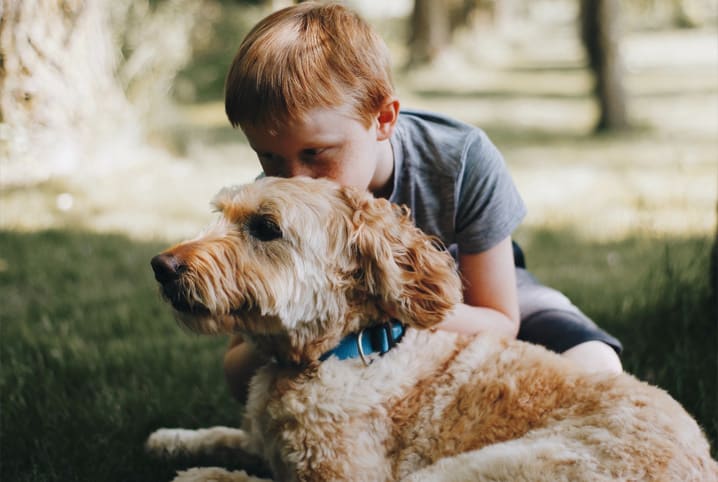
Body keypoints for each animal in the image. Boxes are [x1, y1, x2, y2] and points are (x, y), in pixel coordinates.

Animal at [148, 177, 718, 482]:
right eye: (222, 214)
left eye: (266, 228)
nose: (161, 265)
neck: (343, 350)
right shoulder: (266, 440)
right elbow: (230, 434)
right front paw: (175, 439)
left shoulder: (348, 476)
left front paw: (206, 474)